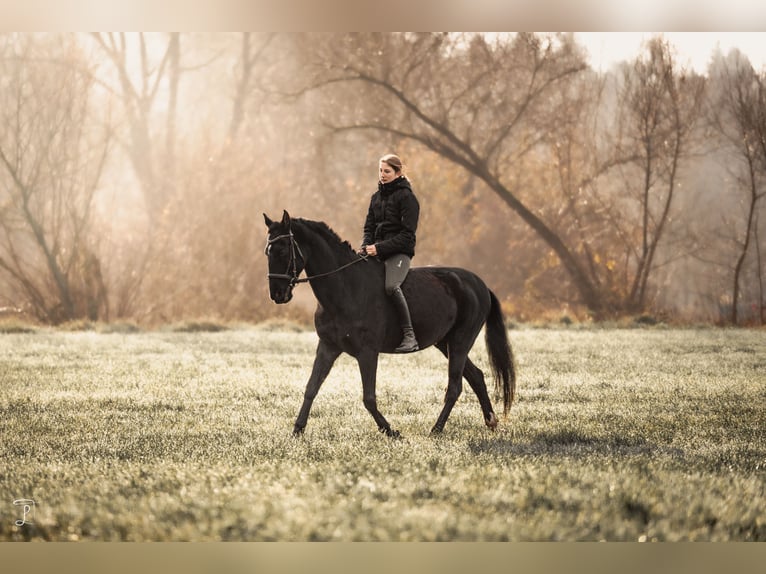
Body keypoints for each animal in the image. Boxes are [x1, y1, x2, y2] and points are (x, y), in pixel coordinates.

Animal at [262, 212, 516, 436]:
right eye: (268, 252)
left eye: (283, 250)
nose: (277, 294)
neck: (346, 288)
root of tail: (479, 284)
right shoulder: (328, 346)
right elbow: (311, 388)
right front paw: (297, 430)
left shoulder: (367, 352)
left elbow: (368, 398)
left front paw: (390, 431)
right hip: (446, 343)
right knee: (476, 376)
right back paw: (490, 421)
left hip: (461, 341)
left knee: (455, 386)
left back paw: (436, 430)